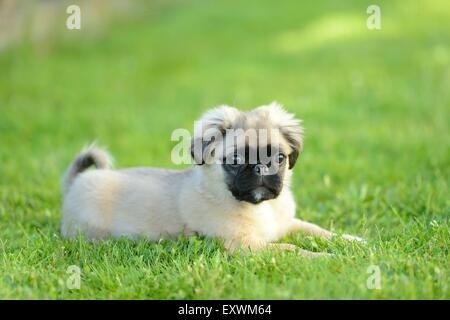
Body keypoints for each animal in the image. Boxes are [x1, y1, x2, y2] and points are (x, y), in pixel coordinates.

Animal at [61, 102, 364, 255]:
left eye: (279, 158)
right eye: (236, 160)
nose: (260, 168)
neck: (262, 209)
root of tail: (75, 184)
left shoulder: (287, 224)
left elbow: (318, 230)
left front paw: (350, 241)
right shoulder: (244, 247)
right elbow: (291, 249)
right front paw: (324, 259)